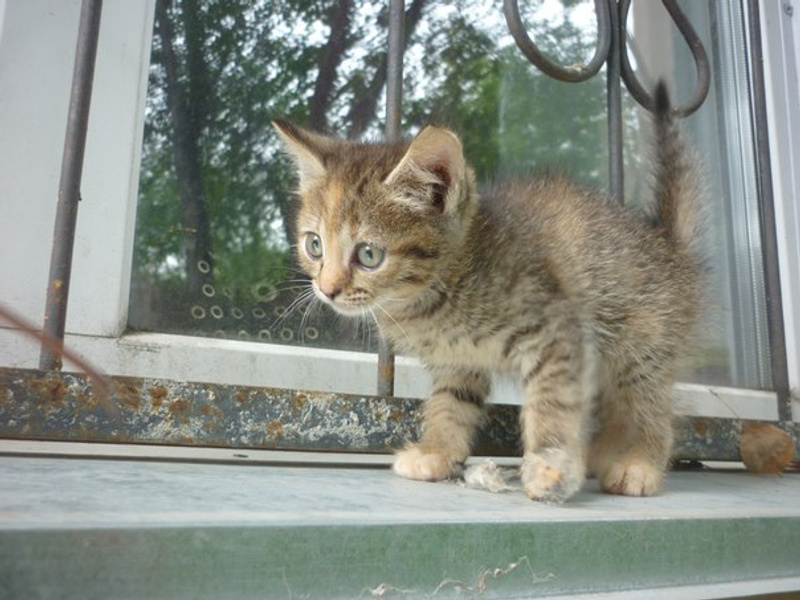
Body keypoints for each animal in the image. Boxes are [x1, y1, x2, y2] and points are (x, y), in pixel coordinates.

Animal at [274, 82, 703, 503]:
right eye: (314, 246)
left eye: (368, 255)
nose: (327, 289)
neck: (433, 299)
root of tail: (666, 243)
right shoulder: (457, 360)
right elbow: (450, 403)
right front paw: (437, 451)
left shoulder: (556, 330)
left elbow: (553, 401)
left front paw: (552, 468)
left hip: (641, 339)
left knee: (650, 405)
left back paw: (639, 462)